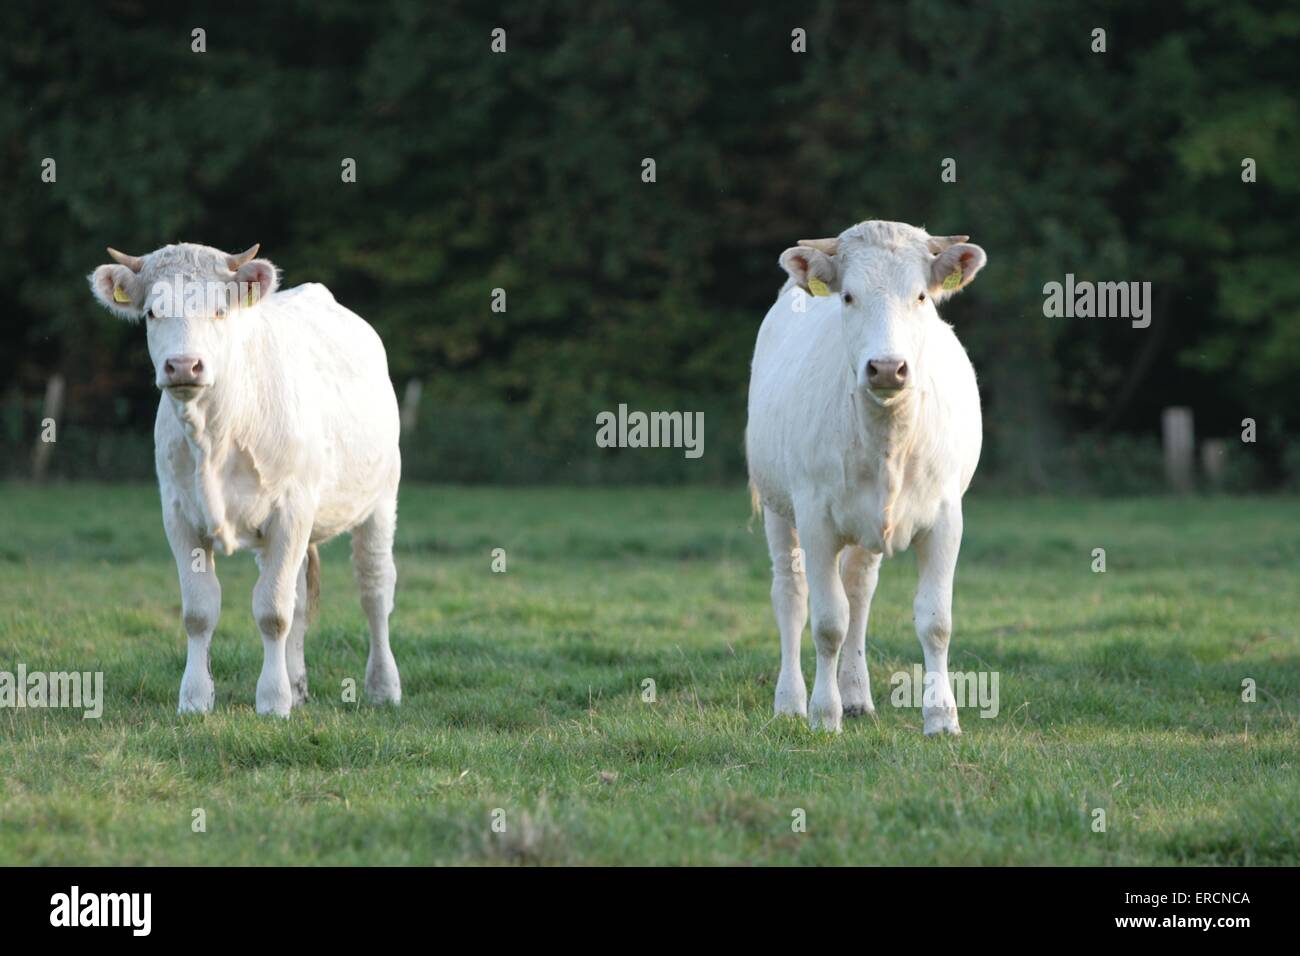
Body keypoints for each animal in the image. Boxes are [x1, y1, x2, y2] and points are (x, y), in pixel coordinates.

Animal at [89, 243, 403, 712]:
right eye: (152, 313)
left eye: (221, 310)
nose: (184, 365)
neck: (214, 434)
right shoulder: (179, 515)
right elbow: (200, 610)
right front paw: (196, 698)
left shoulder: (291, 511)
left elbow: (272, 612)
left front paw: (273, 701)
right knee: (299, 597)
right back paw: (298, 684)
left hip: (381, 498)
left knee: (375, 590)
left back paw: (383, 687)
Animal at [743, 221, 982, 738]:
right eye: (849, 296)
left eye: (921, 295)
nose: (887, 367)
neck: (888, 438)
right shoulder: (815, 519)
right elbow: (827, 621)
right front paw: (823, 714)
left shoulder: (946, 519)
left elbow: (935, 621)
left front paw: (942, 717)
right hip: (777, 506)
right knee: (791, 596)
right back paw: (790, 701)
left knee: (859, 591)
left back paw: (856, 695)